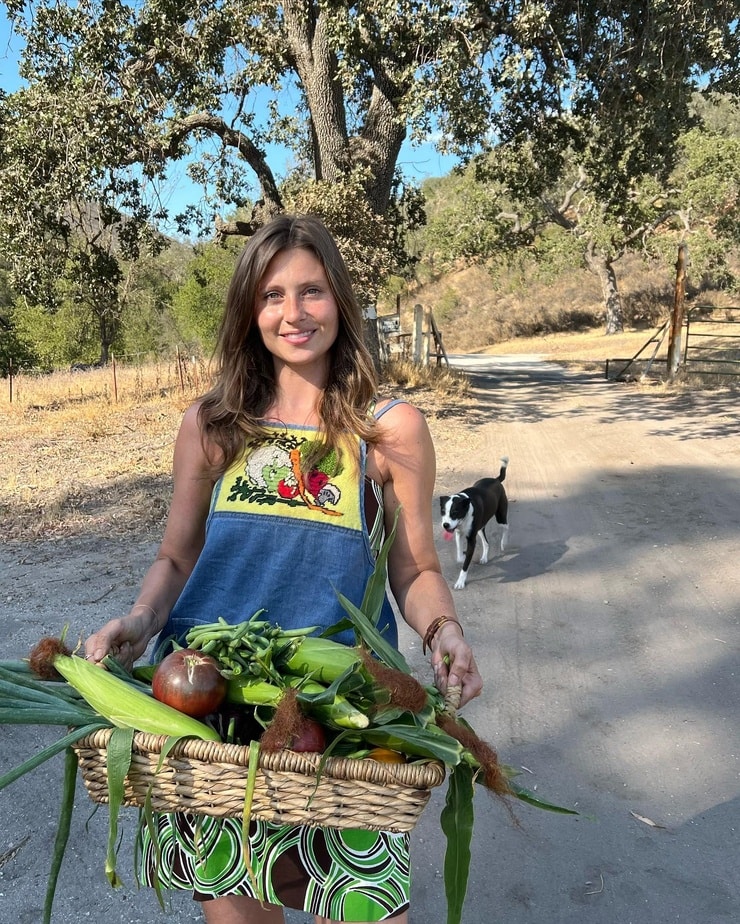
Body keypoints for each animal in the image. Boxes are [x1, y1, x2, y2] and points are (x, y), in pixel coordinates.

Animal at [440, 456, 508, 592]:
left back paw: (504, 543)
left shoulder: (471, 539)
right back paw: (484, 557)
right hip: (480, 527)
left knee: (506, 527)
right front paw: (462, 556)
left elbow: (465, 566)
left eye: (455, 512)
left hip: (501, 517)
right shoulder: (459, 533)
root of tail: (496, 479)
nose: (446, 525)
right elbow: (459, 554)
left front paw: (460, 582)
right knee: (486, 543)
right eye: (443, 511)